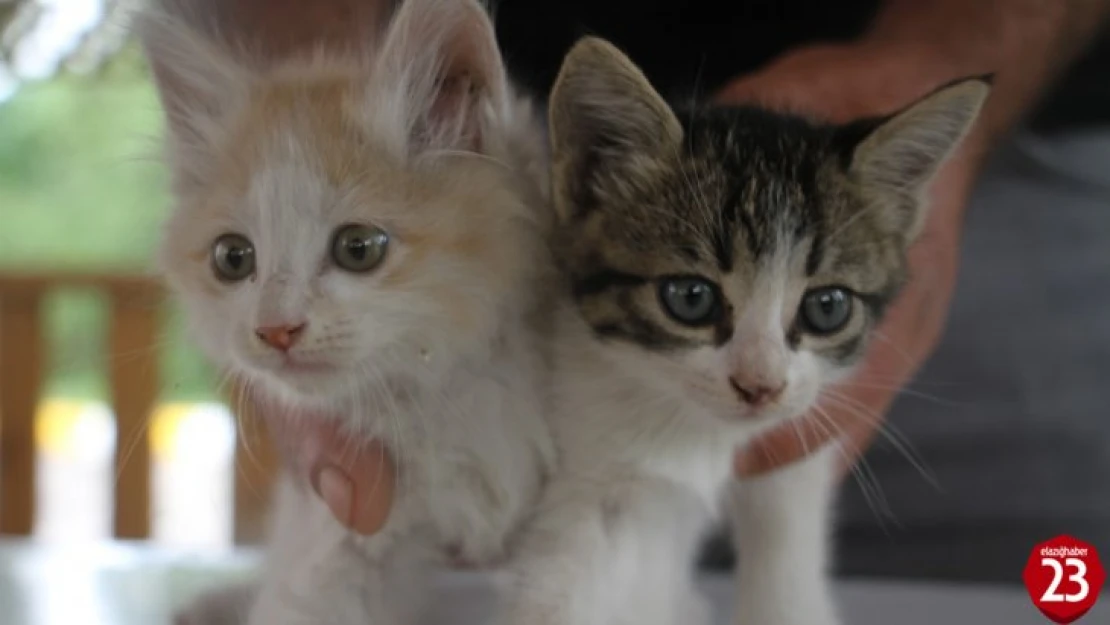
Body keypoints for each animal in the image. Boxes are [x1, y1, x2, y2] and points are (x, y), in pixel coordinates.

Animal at [499, 38, 994, 625]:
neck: (701, 429)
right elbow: (566, 574)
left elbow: (787, 548)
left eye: (827, 307)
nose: (760, 386)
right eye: (691, 298)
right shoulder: (597, 462)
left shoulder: (798, 442)